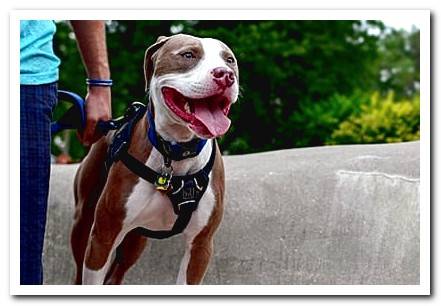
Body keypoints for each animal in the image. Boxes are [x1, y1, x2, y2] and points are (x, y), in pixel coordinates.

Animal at [71, 34, 239, 286]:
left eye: (229, 60)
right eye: (188, 55)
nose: (225, 75)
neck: (176, 153)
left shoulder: (201, 245)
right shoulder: (103, 236)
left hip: (135, 239)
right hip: (84, 221)